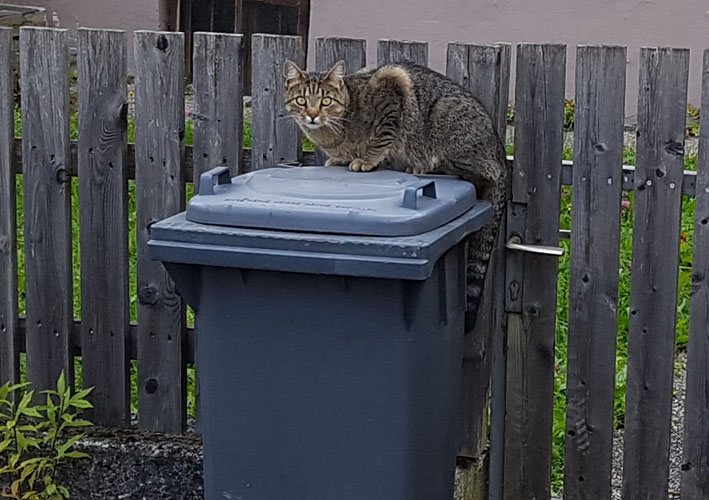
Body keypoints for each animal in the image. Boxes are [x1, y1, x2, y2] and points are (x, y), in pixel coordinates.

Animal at [282, 59, 508, 324]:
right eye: (301, 100)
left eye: (326, 101)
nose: (313, 115)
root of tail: (501, 155)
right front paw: (340, 159)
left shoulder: (392, 87)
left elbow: (380, 138)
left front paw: (366, 160)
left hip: (445, 119)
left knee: (476, 172)